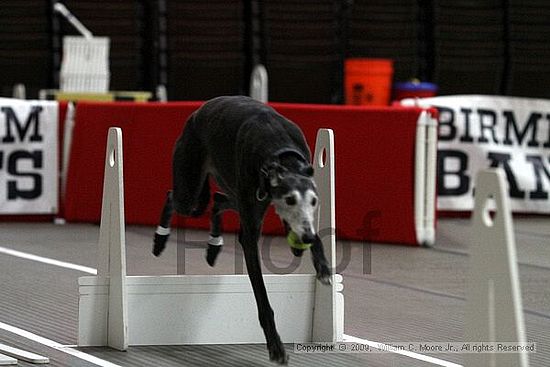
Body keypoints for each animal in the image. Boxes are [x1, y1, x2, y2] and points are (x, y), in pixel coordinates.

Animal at [152, 95, 332, 366]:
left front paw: (322, 265)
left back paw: (213, 246)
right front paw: (276, 347)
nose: (307, 236)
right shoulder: (251, 232)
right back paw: (160, 240)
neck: (281, 152)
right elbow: (262, 297)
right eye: (290, 199)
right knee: (174, 196)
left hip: (227, 189)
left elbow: (308, 238)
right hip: (191, 191)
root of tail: (199, 110)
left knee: (218, 199)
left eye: (314, 201)